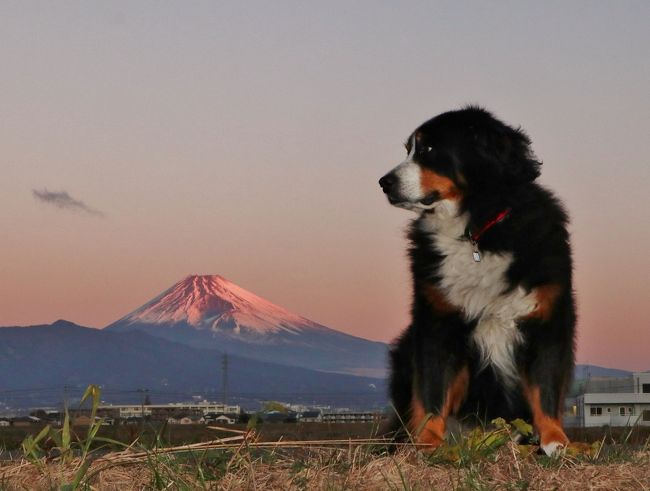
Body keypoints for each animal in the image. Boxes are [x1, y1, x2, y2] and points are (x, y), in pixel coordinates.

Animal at [380, 105, 572, 456]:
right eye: (409, 150)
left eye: (429, 149)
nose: (384, 183)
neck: (477, 234)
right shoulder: (436, 322)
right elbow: (432, 390)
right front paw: (427, 444)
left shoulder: (546, 319)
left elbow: (546, 389)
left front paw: (555, 441)